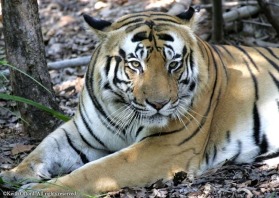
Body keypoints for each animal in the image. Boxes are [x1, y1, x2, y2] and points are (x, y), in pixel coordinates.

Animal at [0, 6, 279, 197]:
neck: (121, 108)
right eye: (135, 64)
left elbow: (96, 170)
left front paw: (36, 190)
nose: (159, 104)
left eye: (173, 64)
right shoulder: (81, 131)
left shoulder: (164, 146)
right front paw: (12, 174)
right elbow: (45, 147)